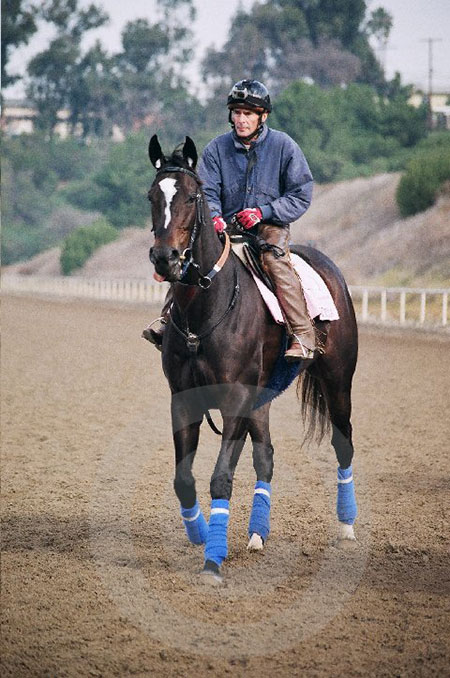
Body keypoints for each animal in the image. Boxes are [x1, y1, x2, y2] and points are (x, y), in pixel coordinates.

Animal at [148, 134, 358, 584]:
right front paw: (200, 534)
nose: (165, 258)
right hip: (263, 394)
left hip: (337, 380)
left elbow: (221, 477)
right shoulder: (185, 398)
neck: (205, 308)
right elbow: (184, 479)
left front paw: (212, 560)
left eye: (191, 196)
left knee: (343, 443)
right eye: (152, 196)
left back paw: (346, 527)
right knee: (266, 457)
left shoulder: (235, 400)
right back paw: (257, 534)